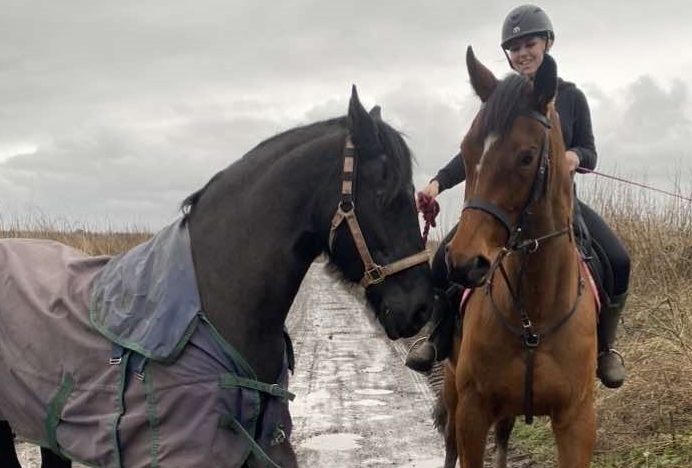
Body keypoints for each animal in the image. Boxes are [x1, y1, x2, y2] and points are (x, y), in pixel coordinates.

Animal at [440, 48, 596, 468]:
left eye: (526, 157)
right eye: (465, 152)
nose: (464, 263)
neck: (533, 317)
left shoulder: (576, 421)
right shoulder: (472, 412)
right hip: (452, 388)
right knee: (449, 444)